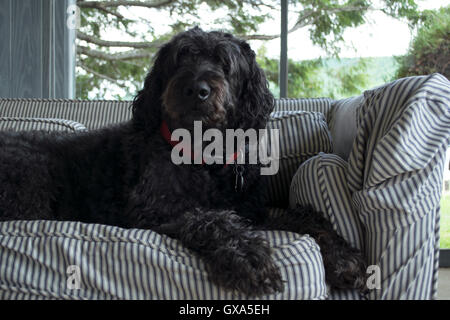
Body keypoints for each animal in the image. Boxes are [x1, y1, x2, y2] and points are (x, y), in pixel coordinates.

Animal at [0, 27, 366, 296]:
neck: (205, 157)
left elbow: (304, 216)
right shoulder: (155, 208)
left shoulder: (254, 212)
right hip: (31, 175)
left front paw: (343, 256)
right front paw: (248, 256)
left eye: (224, 62)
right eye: (180, 58)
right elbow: (211, 219)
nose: (196, 89)